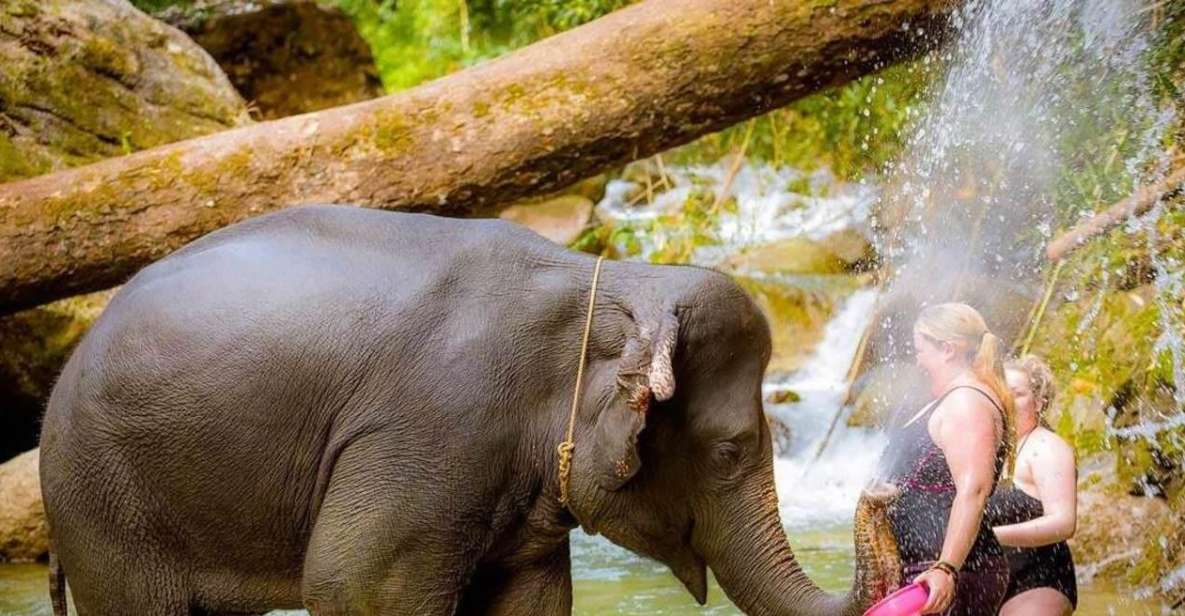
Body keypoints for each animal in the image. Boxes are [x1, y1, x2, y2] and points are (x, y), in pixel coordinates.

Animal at [37, 204, 881, 611]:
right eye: (731, 451)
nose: (876, 493)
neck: (599, 281)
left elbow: (533, 601)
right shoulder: (431, 431)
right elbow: (354, 586)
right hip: (102, 502)